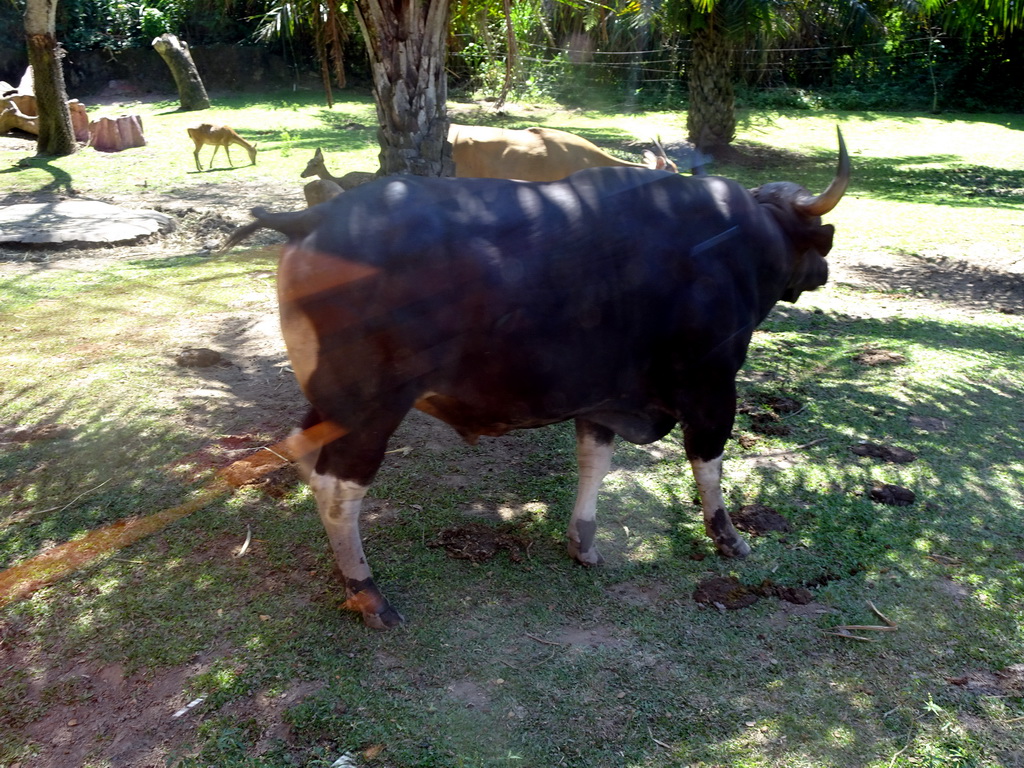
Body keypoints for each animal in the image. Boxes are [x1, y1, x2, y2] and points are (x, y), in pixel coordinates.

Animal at [228, 128, 851, 630]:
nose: (822, 269)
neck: (737, 242)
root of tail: (312, 217)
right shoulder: (712, 385)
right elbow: (708, 464)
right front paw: (729, 538)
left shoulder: (603, 398)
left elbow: (594, 461)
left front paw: (584, 542)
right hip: (368, 411)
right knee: (339, 490)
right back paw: (368, 593)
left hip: (329, 404)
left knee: (306, 461)